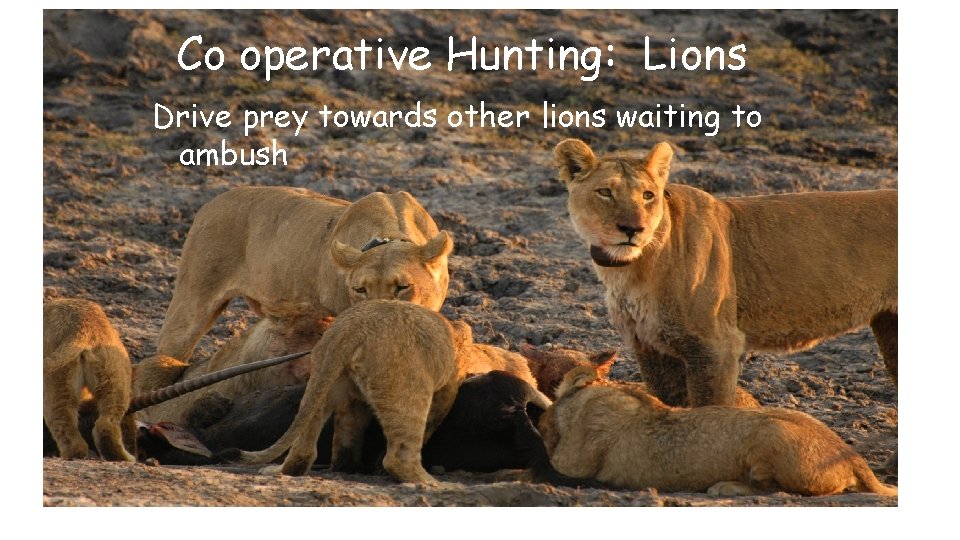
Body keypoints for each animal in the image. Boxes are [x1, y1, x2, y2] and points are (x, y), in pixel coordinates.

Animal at [43, 298, 137, 462]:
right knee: (106, 422)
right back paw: (122, 457)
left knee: (62, 419)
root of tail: (82, 327)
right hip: (115, 371)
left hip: (55, 379)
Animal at [224, 299, 467, 486]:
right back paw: (434, 484)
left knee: (303, 443)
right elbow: (436, 416)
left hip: (322, 377)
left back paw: (279, 469)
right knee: (399, 456)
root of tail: (351, 329)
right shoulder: (448, 386)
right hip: (406, 384)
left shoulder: (353, 400)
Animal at [539, 366, 897, 497]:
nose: (542, 421)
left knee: (776, 489)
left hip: (770, 434)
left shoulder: (575, 459)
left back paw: (724, 488)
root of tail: (853, 457)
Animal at [553, 139, 897, 408]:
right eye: (605, 192)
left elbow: (710, 410)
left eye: (648, 195)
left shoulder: (716, 347)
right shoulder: (650, 348)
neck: (632, 269)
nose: (632, 229)